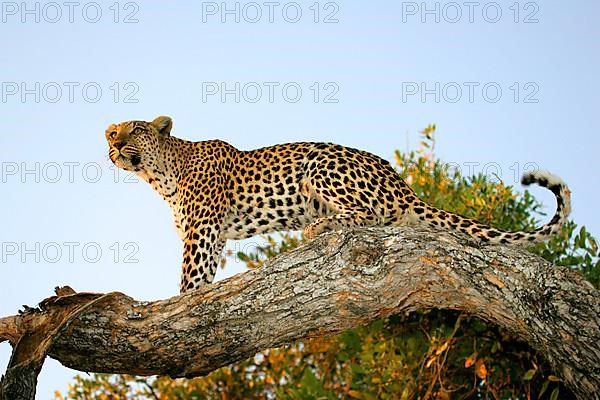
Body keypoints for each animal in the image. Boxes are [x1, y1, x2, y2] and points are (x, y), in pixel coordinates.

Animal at [106, 115, 572, 294]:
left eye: (136, 130)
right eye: (112, 133)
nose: (115, 143)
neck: (160, 175)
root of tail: (403, 185)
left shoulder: (202, 229)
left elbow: (190, 277)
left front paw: (181, 303)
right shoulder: (213, 234)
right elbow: (202, 276)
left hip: (320, 164)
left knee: (370, 215)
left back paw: (322, 227)